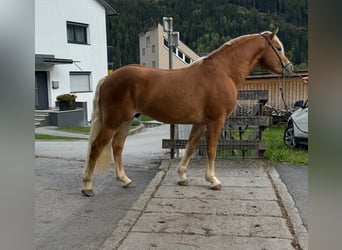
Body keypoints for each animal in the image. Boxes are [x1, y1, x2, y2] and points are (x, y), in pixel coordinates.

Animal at [81, 28, 292, 196]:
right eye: (278, 48)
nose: (289, 68)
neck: (223, 71)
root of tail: (107, 79)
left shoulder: (200, 123)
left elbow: (190, 146)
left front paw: (183, 176)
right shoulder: (216, 120)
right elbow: (212, 149)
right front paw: (213, 180)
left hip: (125, 121)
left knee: (117, 147)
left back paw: (125, 180)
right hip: (114, 121)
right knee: (97, 146)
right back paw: (87, 186)